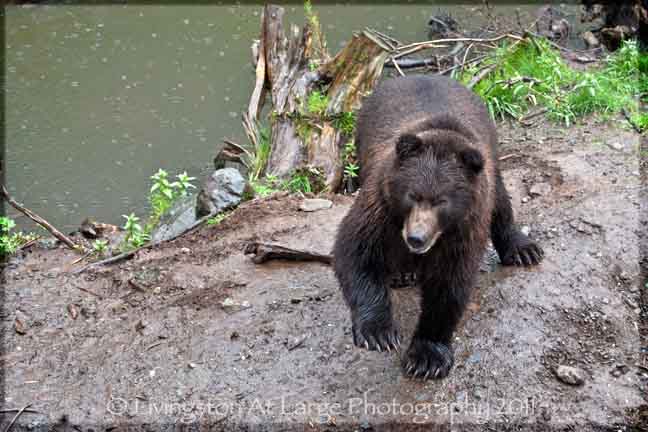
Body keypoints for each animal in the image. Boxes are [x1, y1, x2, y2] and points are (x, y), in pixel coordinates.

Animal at [334, 76, 540, 380]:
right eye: (412, 195)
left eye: (442, 200)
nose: (416, 238)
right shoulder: (381, 205)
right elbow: (356, 250)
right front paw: (378, 332)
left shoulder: (465, 227)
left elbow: (449, 285)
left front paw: (426, 356)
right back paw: (402, 274)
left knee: (502, 202)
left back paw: (523, 249)